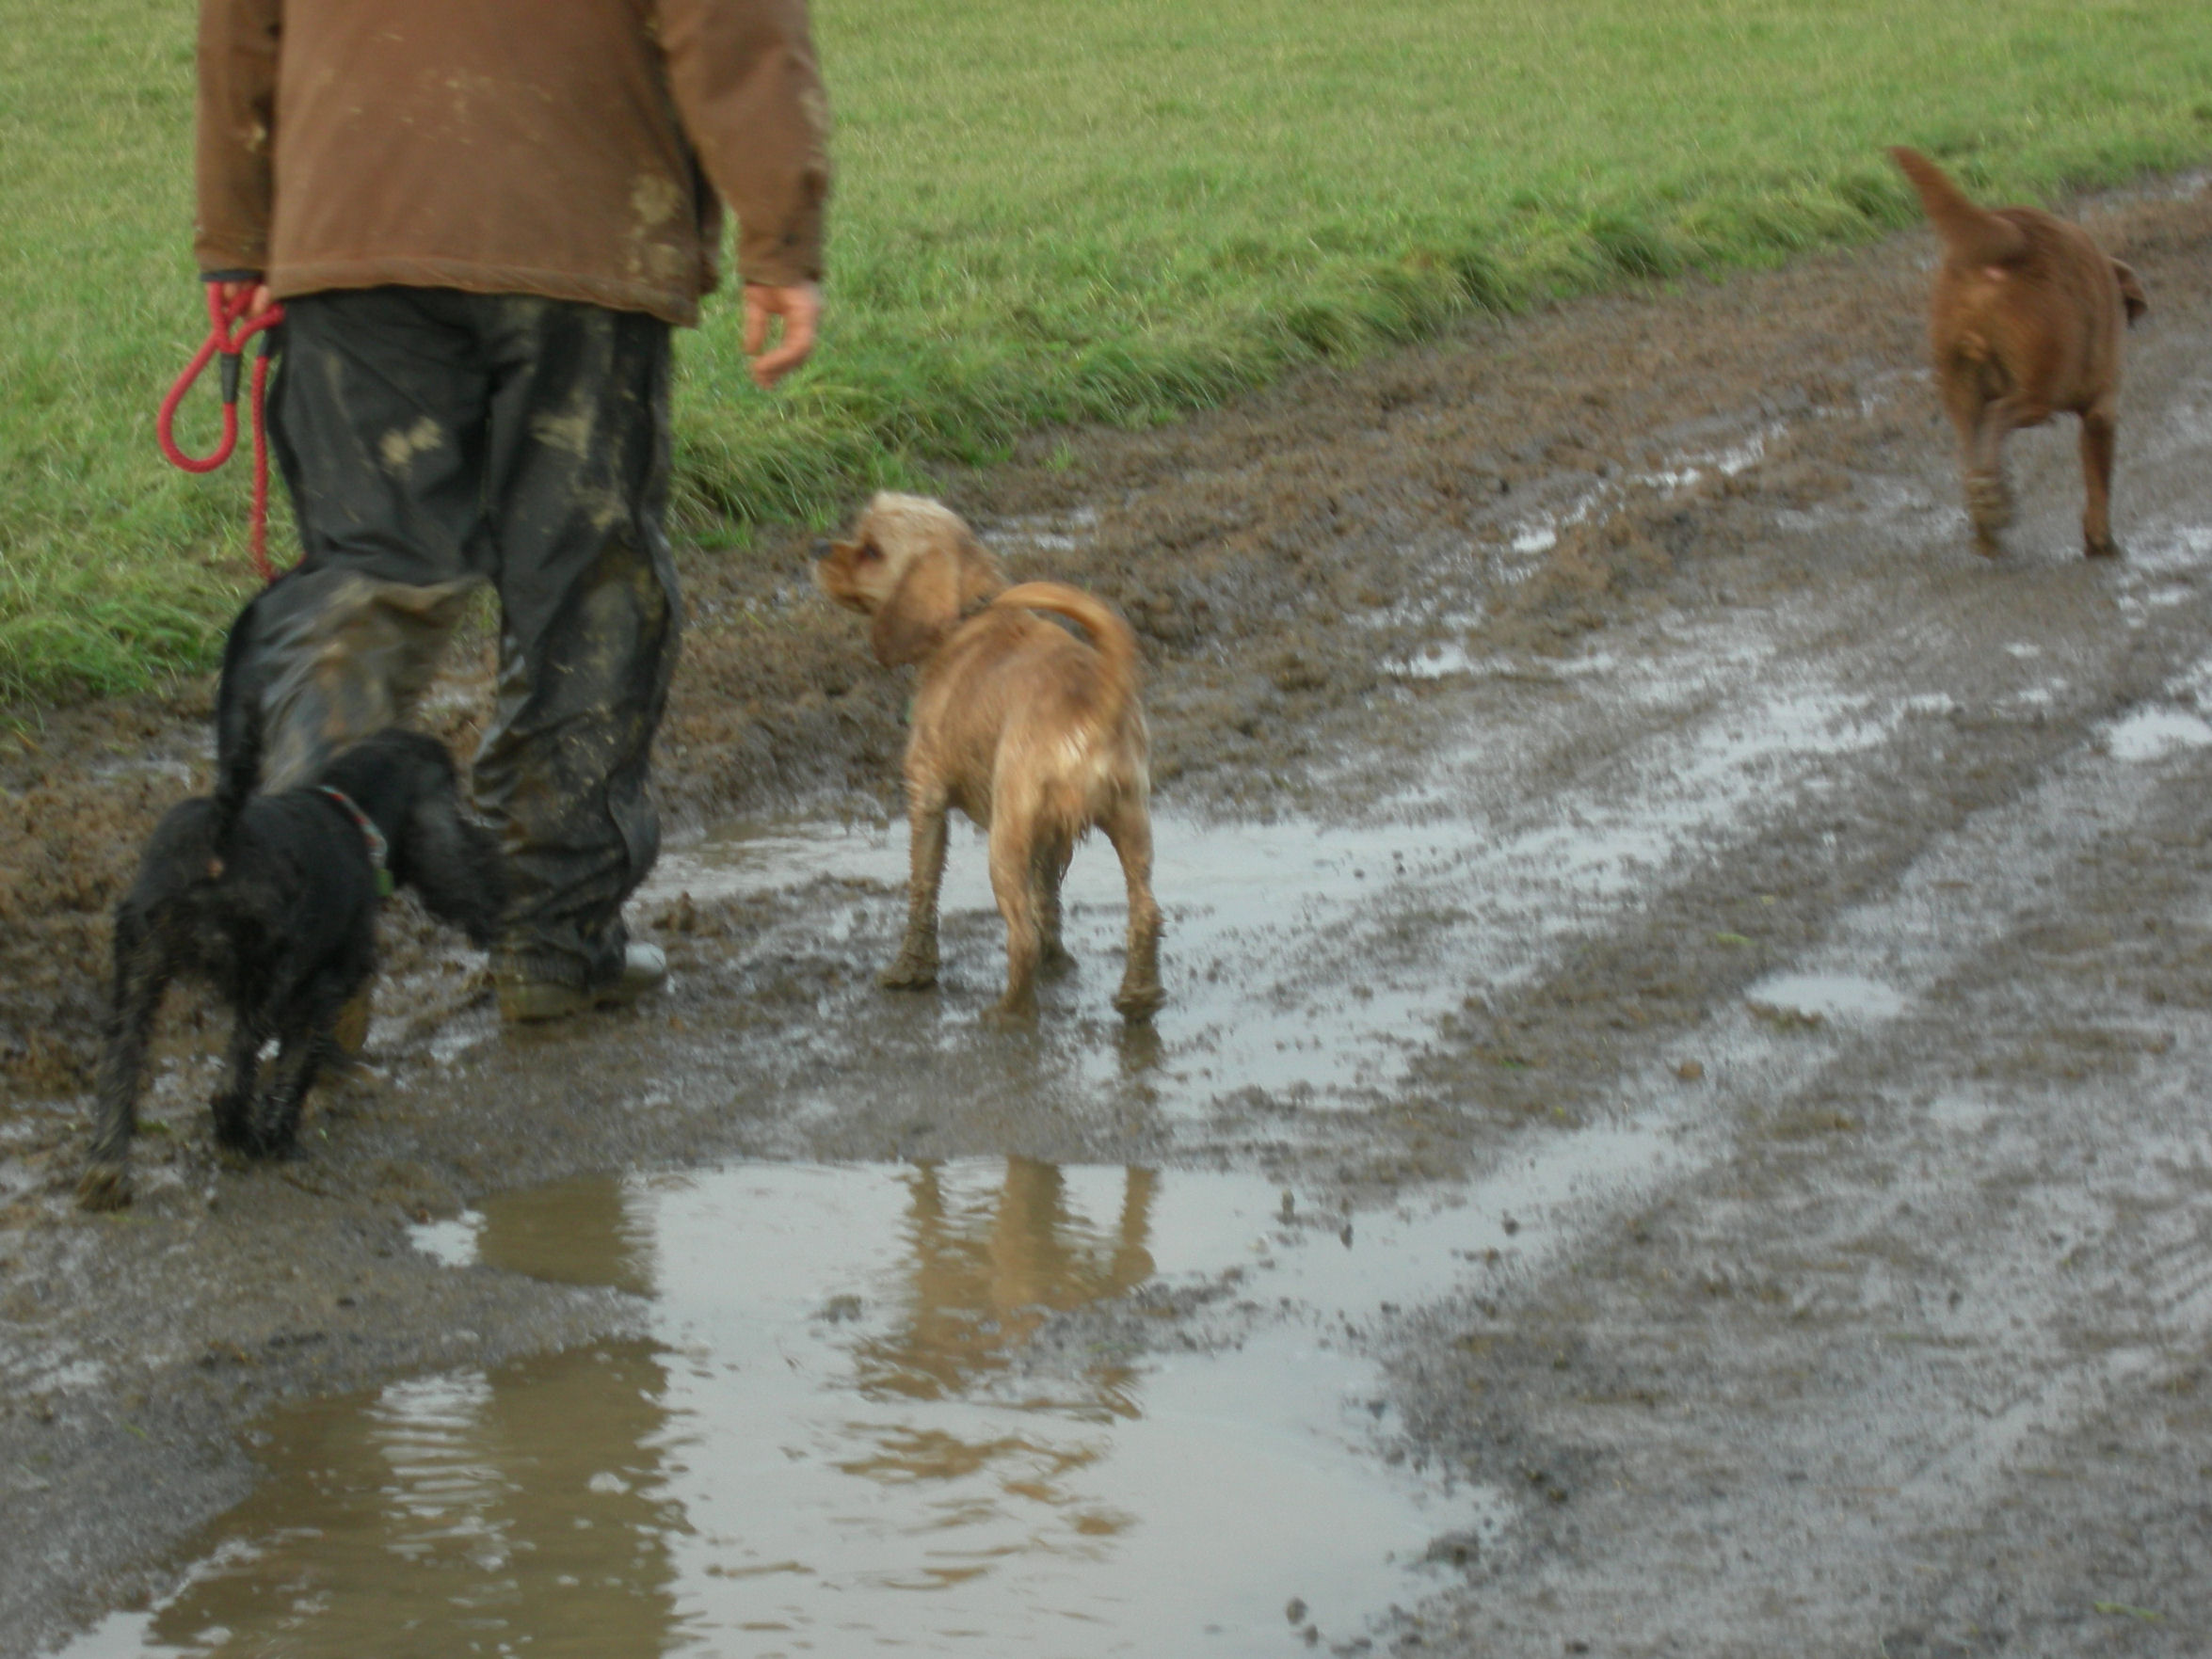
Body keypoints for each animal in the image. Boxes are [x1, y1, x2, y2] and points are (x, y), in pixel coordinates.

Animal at [77, 606, 506, 1212]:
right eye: (452, 800)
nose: (491, 858)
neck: (352, 813)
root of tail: (218, 835)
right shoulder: (322, 984)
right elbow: (296, 1065)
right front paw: (281, 1137)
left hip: (140, 966)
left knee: (120, 1065)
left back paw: (106, 1173)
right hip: (264, 972)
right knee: (228, 1081)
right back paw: (242, 1141)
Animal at [813, 493, 1159, 1022]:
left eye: (871, 550)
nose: (817, 547)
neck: (966, 618)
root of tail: (1093, 704)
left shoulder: (926, 797)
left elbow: (922, 888)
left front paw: (910, 971)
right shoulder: (1052, 836)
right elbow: (1047, 894)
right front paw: (1058, 958)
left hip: (1005, 839)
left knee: (1021, 938)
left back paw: (1007, 1013)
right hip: (1131, 821)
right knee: (1145, 910)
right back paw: (1139, 996)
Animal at [1893, 144, 2150, 559]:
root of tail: (2013, 232)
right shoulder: (2102, 409)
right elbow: (2099, 482)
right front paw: (2101, 540)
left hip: (1960, 384)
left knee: (1971, 446)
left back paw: (1986, 514)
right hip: (2039, 387)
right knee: (2000, 417)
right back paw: (1993, 501)